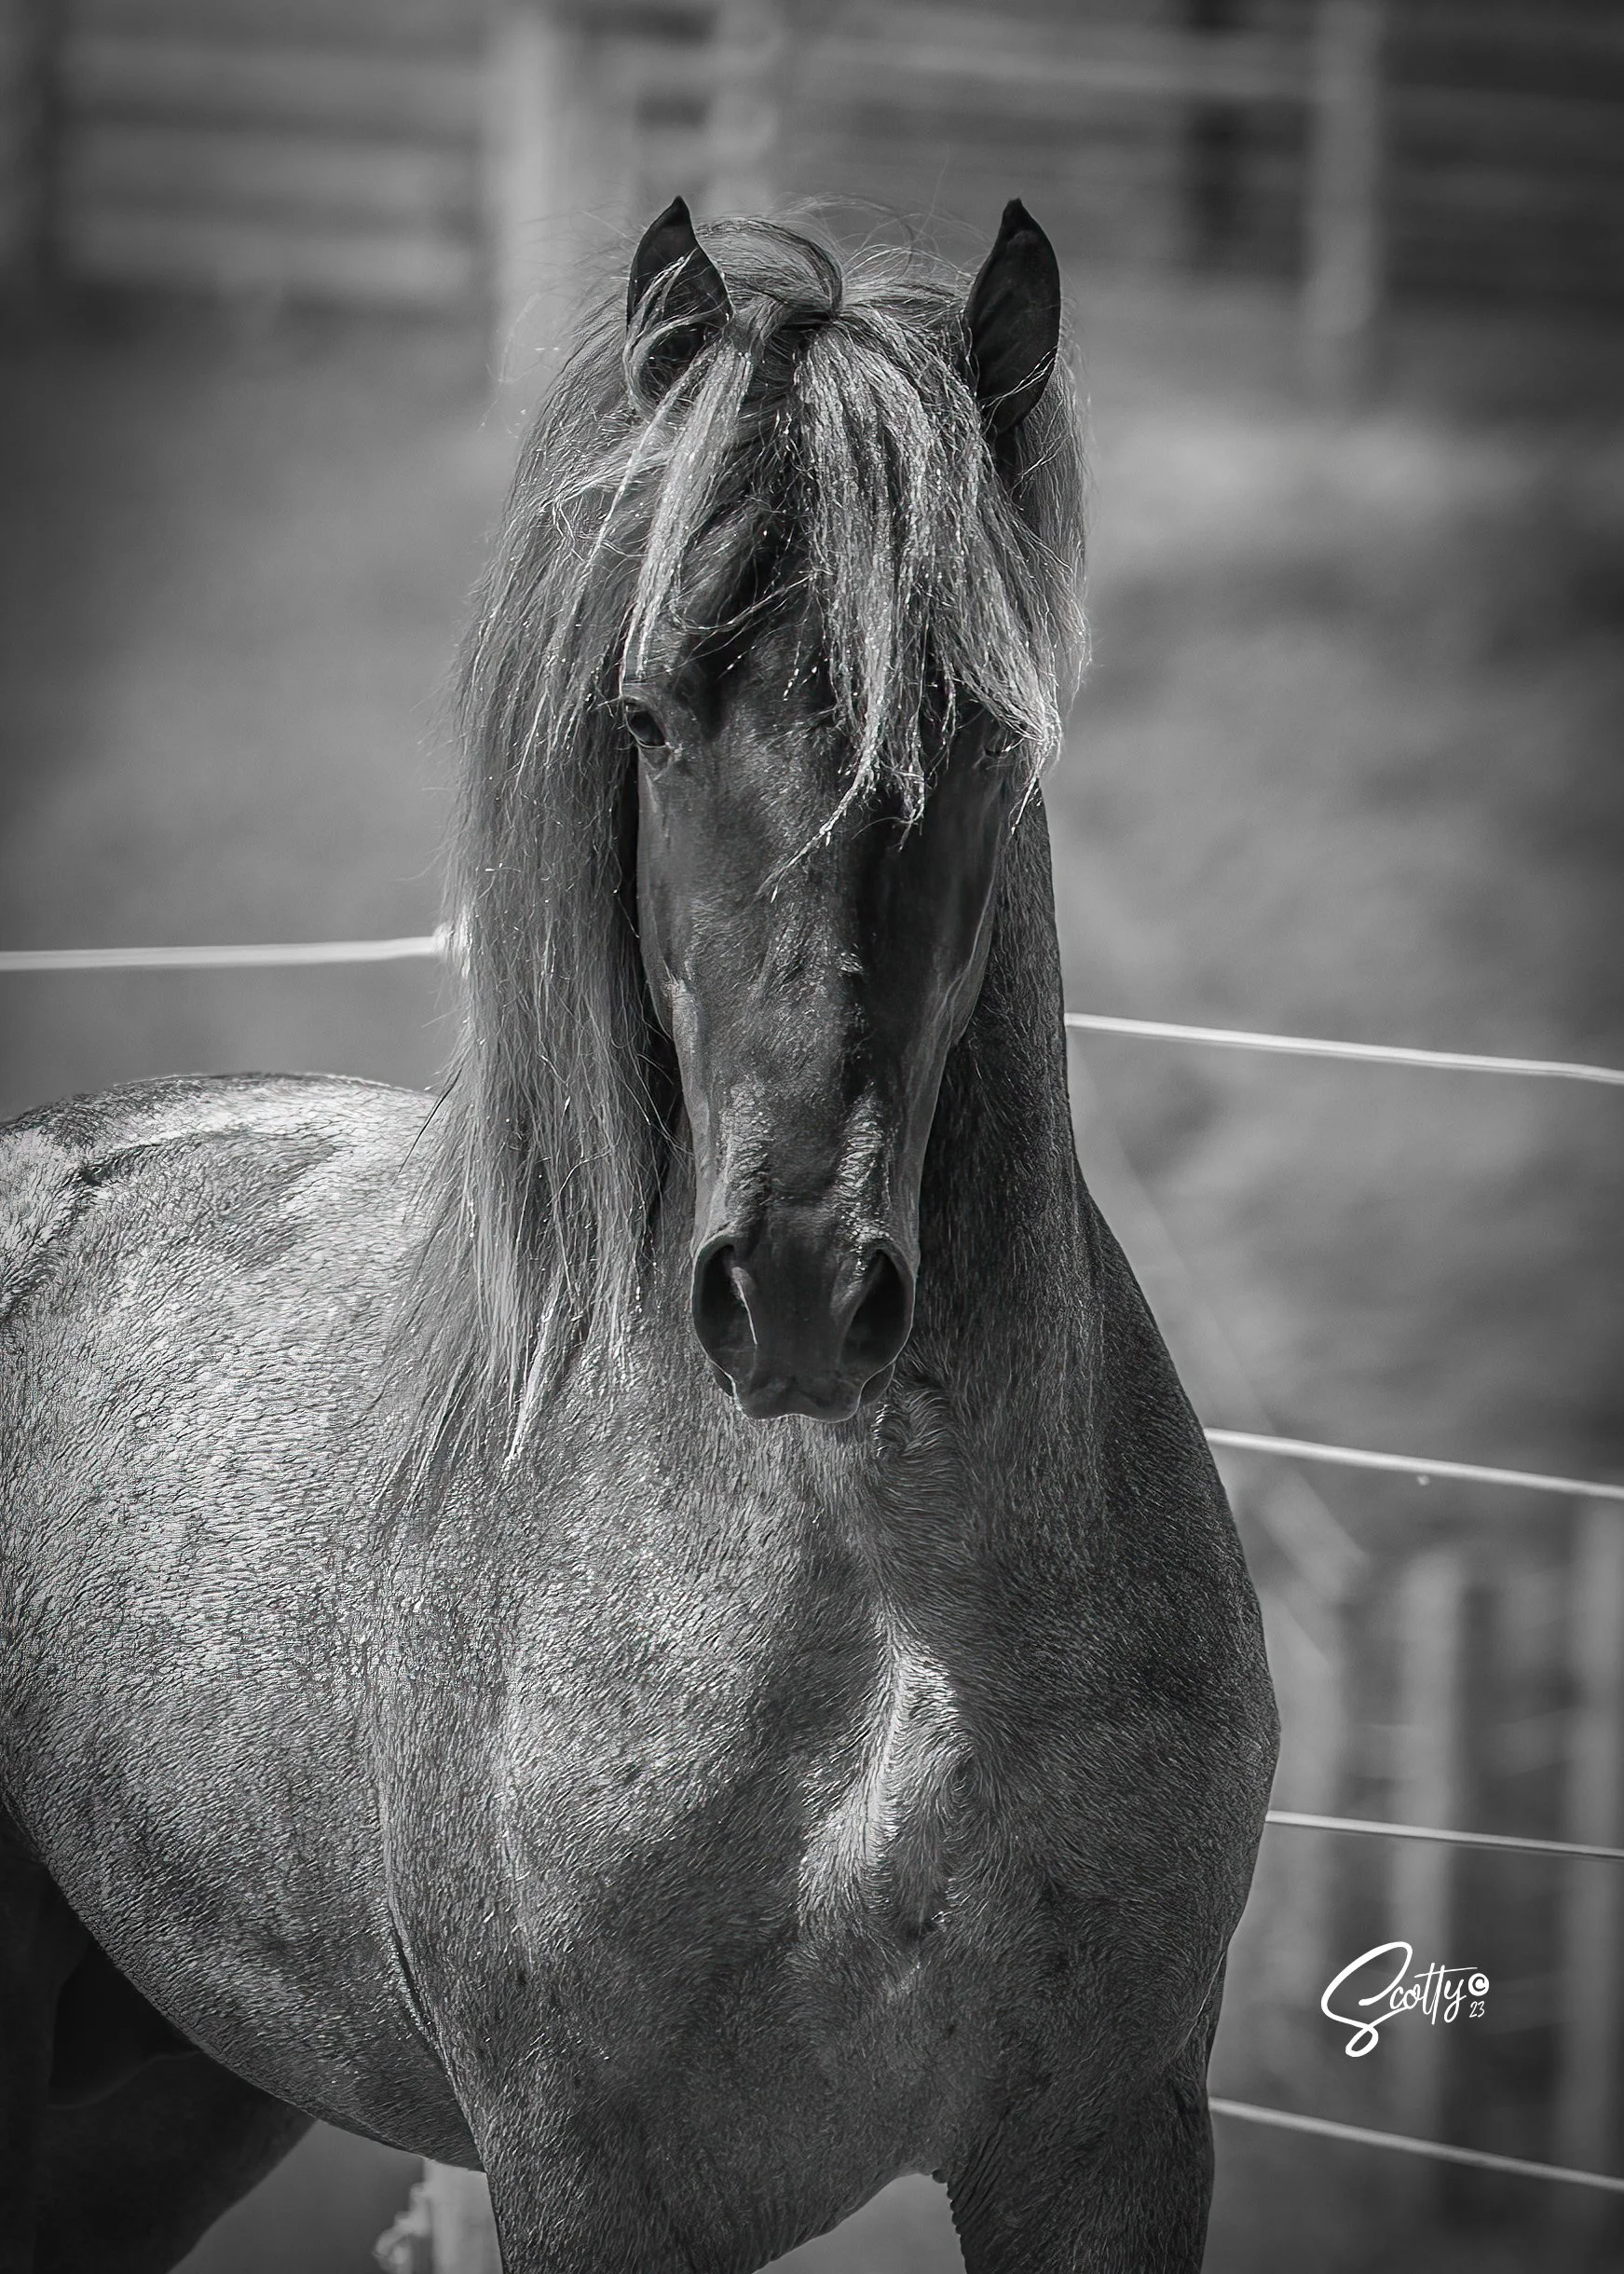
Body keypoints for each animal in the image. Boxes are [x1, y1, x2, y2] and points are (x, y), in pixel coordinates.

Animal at [0, 199, 1277, 2273]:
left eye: (979, 728)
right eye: (648, 715)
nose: (800, 1285)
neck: (886, 1616)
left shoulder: (1102, 2151)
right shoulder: (596, 2186)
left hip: (155, 2097)